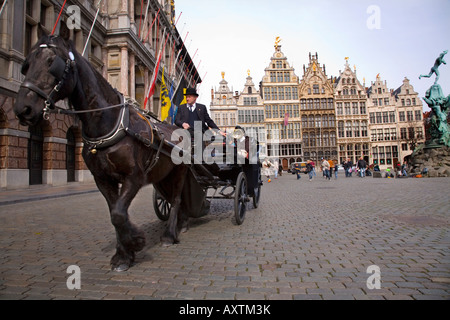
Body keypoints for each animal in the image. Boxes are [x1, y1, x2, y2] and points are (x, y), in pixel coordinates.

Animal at [13, 23, 193, 272]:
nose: (23, 108)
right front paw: (123, 255)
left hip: (179, 171)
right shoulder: (103, 179)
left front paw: (136, 242)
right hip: (163, 174)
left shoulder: (134, 177)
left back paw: (169, 235)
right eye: (27, 64)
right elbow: (115, 214)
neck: (110, 123)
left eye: (53, 62)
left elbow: (118, 214)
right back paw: (180, 225)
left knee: (175, 199)